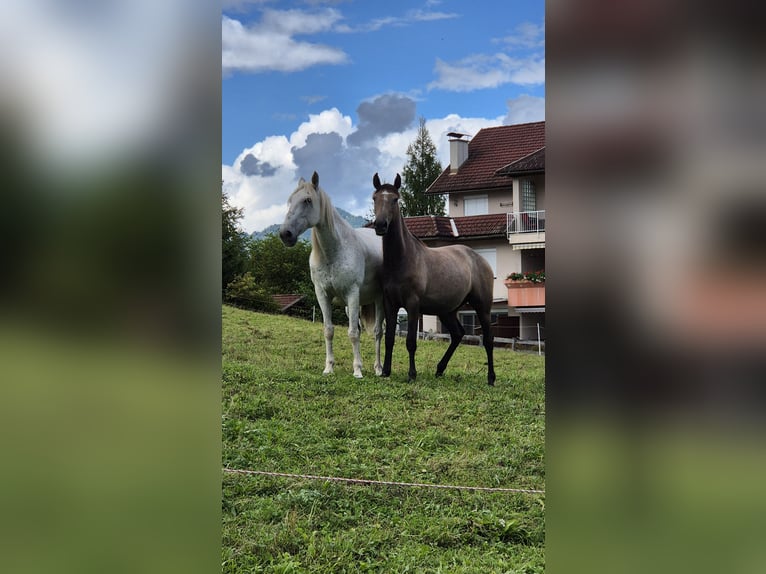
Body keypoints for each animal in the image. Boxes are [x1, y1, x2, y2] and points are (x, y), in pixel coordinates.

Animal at [279, 171, 385, 378]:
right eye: (290, 200)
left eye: (307, 200)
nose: (285, 234)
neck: (335, 252)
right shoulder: (322, 294)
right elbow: (329, 330)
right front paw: (329, 368)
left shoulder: (352, 294)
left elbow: (352, 333)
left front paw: (357, 371)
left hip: (379, 302)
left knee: (378, 332)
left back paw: (378, 368)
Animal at [371, 173, 496, 385]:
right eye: (375, 198)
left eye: (395, 199)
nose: (380, 225)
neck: (402, 259)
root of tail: (480, 259)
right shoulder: (390, 303)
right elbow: (389, 339)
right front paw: (386, 371)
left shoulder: (413, 305)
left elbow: (411, 342)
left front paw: (411, 374)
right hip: (447, 310)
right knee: (457, 335)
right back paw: (439, 369)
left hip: (482, 307)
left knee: (488, 340)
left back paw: (491, 378)